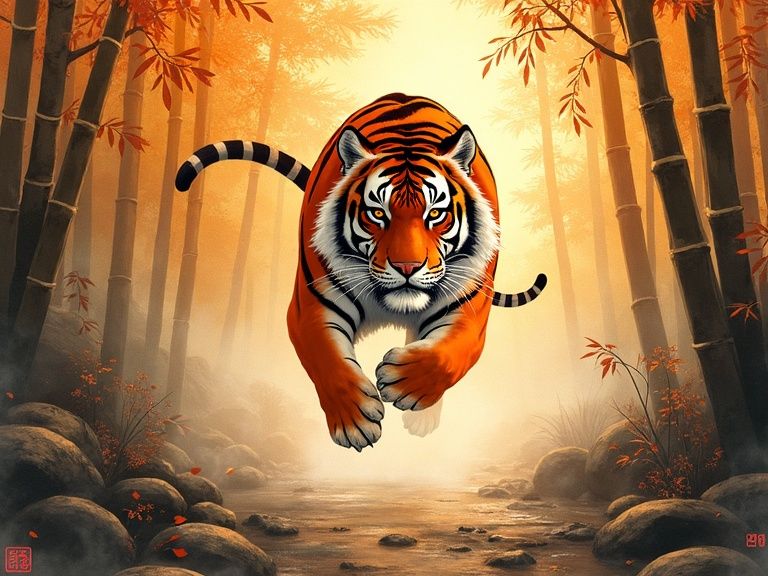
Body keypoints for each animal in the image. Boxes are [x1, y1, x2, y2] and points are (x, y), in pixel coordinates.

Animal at [176, 93, 547, 451]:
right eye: (377, 213)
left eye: (435, 214)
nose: (407, 267)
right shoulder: (311, 308)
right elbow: (328, 361)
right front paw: (354, 422)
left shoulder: (468, 309)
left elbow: (448, 354)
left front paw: (406, 383)